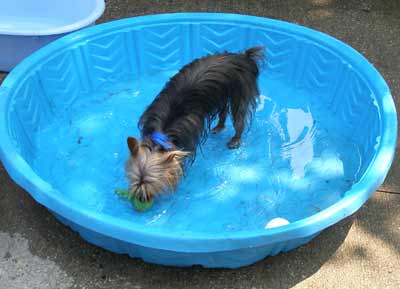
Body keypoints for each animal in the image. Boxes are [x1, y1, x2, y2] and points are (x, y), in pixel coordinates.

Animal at [123, 46, 264, 201]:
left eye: (154, 184)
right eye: (135, 181)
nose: (141, 199)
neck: (160, 136)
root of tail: (243, 56)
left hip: (240, 91)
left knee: (239, 118)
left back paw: (235, 140)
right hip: (221, 94)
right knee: (223, 112)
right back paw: (219, 127)